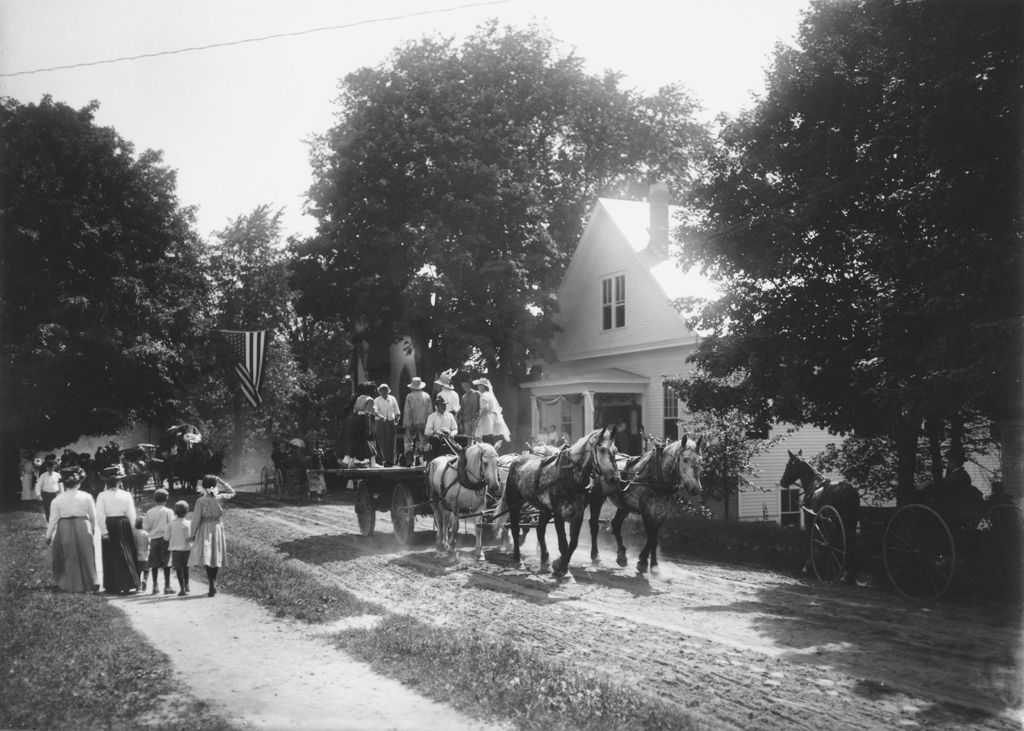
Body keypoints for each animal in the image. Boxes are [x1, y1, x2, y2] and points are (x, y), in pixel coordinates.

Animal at [499, 427, 618, 573]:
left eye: (615, 450)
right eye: (601, 449)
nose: (614, 478)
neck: (570, 476)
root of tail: (517, 459)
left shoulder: (578, 513)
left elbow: (573, 543)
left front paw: (561, 564)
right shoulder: (558, 513)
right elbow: (563, 543)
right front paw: (562, 567)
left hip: (544, 509)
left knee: (540, 530)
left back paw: (544, 560)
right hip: (514, 503)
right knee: (515, 528)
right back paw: (518, 558)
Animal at [593, 436, 704, 573]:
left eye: (700, 461)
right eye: (685, 459)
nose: (696, 489)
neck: (657, 475)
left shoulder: (661, 513)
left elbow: (653, 538)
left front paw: (647, 562)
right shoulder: (647, 512)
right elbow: (652, 539)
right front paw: (649, 564)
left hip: (625, 505)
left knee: (615, 524)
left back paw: (622, 556)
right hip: (598, 498)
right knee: (593, 524)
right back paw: (596, 557)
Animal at [778, 446, 860, 585]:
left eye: (788, 465)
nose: (782, 482)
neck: (814, 484)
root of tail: (849, 490)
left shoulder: (809, 520)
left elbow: (811, 542)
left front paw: (807, 567)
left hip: (840, 523)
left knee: (842, 545)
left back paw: (843, 575)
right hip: (851, 523)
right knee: (851, 544)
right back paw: (849, 575)